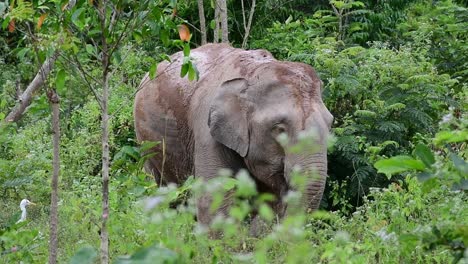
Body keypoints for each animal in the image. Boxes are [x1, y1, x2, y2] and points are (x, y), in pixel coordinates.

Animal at [133, 43, 334, 231]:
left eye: (330, 125)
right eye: (279, 129)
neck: (253, 73)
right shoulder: (206, 131)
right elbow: (214, 200)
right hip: (145, 143)